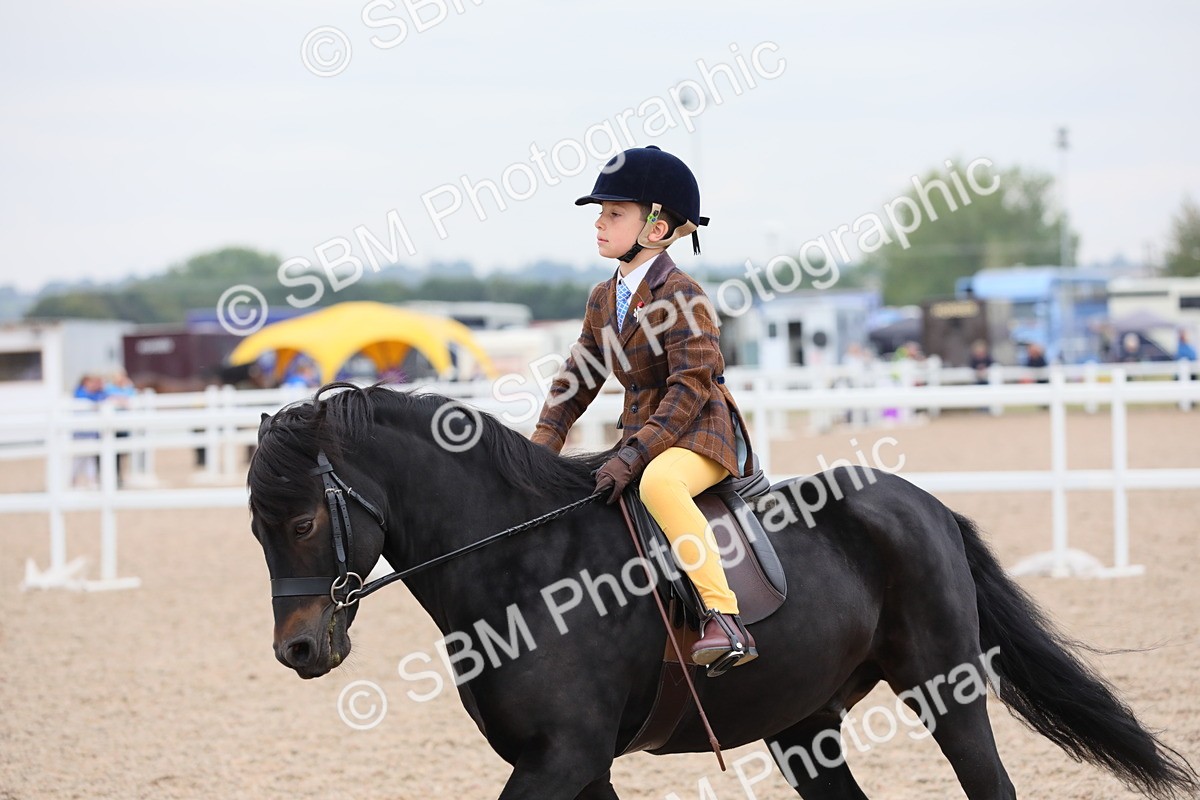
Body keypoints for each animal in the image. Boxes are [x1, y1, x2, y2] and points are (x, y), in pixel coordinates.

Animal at [248, 383, 1197, 800]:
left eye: (302, 521)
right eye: (257, 528)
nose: (298, 648)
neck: (520, 564)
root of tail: (919, 503)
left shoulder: (563, 758)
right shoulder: (573, 764)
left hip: (946, 692)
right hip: (804, 727)